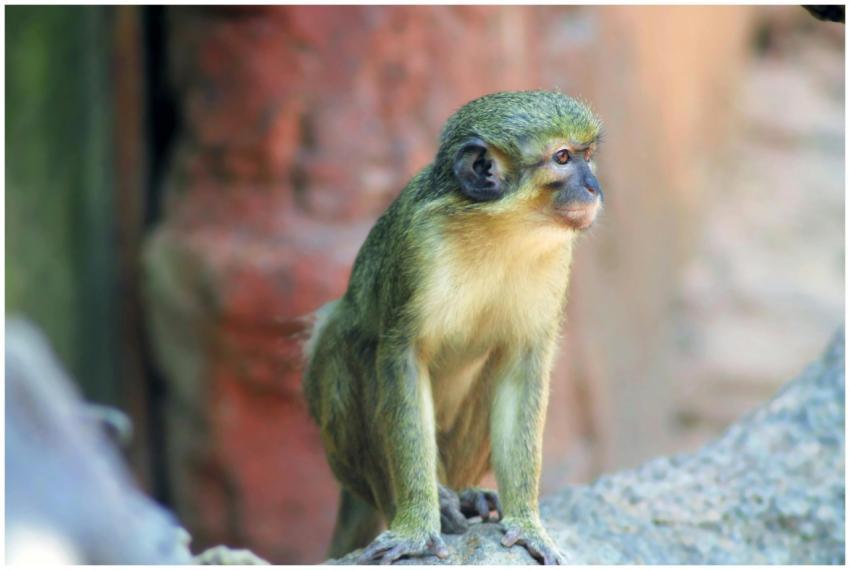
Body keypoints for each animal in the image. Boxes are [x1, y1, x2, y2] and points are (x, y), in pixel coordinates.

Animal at [303, 90, 603, 565]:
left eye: (588, 156)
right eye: (562, 157)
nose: (594, 187)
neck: (500, 228)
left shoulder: (556, 259)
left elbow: (520, 368)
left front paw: (527, 523)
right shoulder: (418, 244)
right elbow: (400, 355)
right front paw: (416, 526)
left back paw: (463, 494)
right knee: (346, 339)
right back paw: (431, 500)